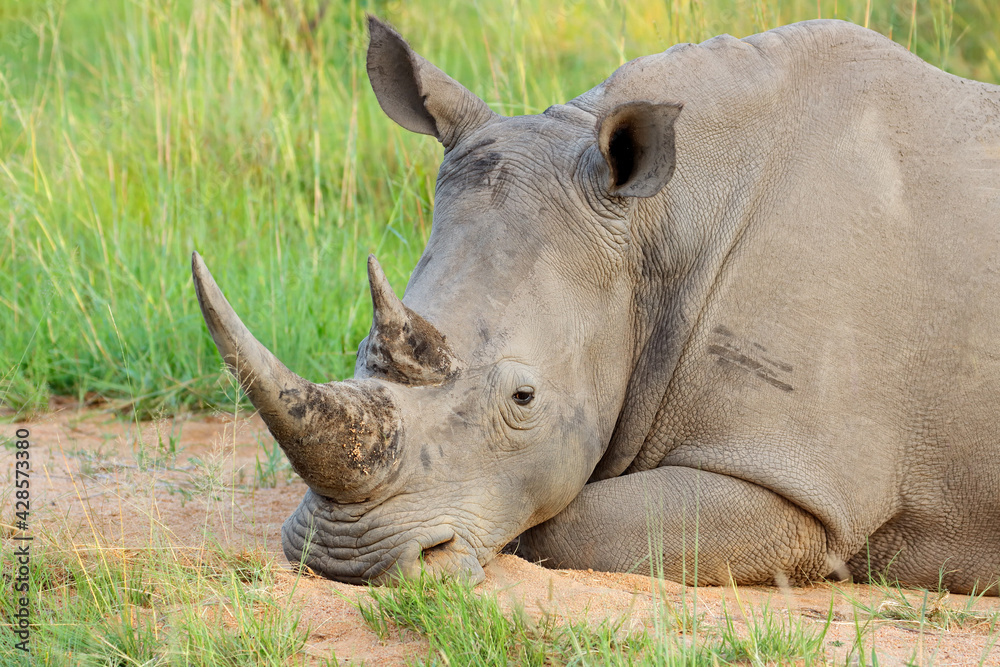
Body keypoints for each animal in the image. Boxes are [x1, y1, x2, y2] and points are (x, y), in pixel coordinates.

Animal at [192, 16, 1000, 594]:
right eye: (360, 352)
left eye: (524, 398)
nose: (344, 558)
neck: (656, 225)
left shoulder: (798, 482)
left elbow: (561, 527)